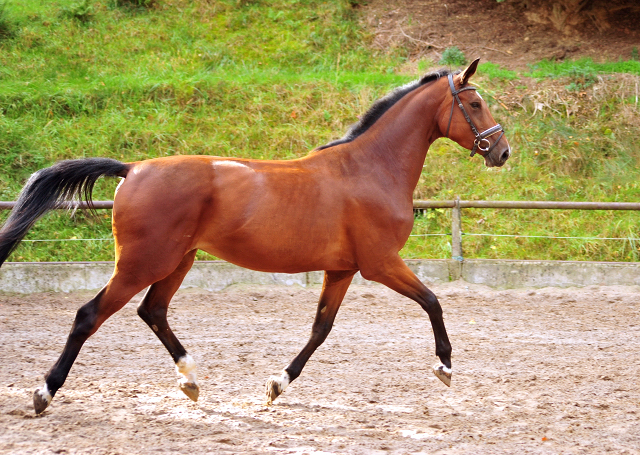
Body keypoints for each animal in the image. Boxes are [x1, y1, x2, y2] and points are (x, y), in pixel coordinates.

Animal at [0, 58, 510, 416]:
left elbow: (320, 329)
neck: (369, 169)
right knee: (89, 316)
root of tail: (133, 169)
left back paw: (191, 381)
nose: (502, 151)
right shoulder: (380, 263)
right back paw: (44, 393)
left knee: (153, 311)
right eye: (476, 104)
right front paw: (444, 367)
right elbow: (433, 302)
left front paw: (276, 386)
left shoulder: (342, 269)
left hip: (178, 260)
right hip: (142, 263)